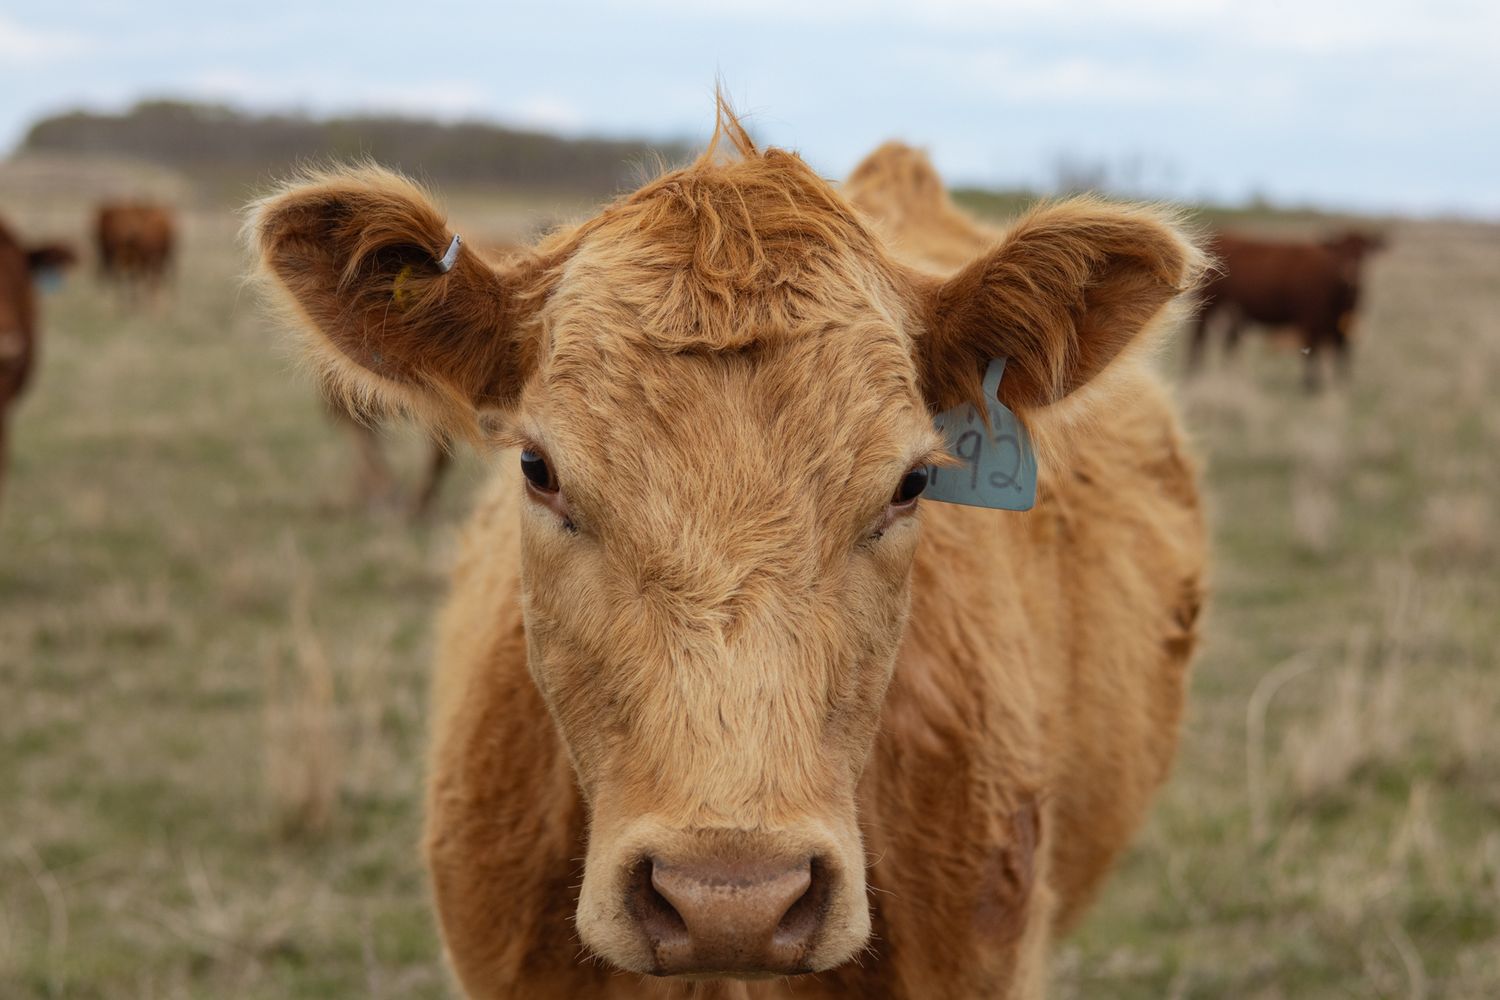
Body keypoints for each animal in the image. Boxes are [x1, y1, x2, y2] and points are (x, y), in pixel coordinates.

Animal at [1187, 229, 1386, 390]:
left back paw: (1230, 373)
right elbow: (1312, 352)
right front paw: (1311, 385)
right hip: (1210, 305)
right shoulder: (1311, 320)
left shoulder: (1343, 325)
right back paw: (1194, 372)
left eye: (1364, 252)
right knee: (1199, 336)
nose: (1350, 272)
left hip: (1235, 312)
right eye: (1340, 251)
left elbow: (1342, 353)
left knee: (1228, 342)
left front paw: (1342, 383)